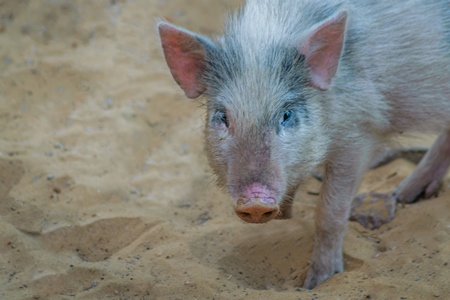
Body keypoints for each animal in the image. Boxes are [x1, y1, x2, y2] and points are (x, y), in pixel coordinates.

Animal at [157, 0, 450, 290]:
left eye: (287, 115)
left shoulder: (359, 135)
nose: (255, 200)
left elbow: (329, 214)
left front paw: (318, 282)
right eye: (223, 118)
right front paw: (285, 216)